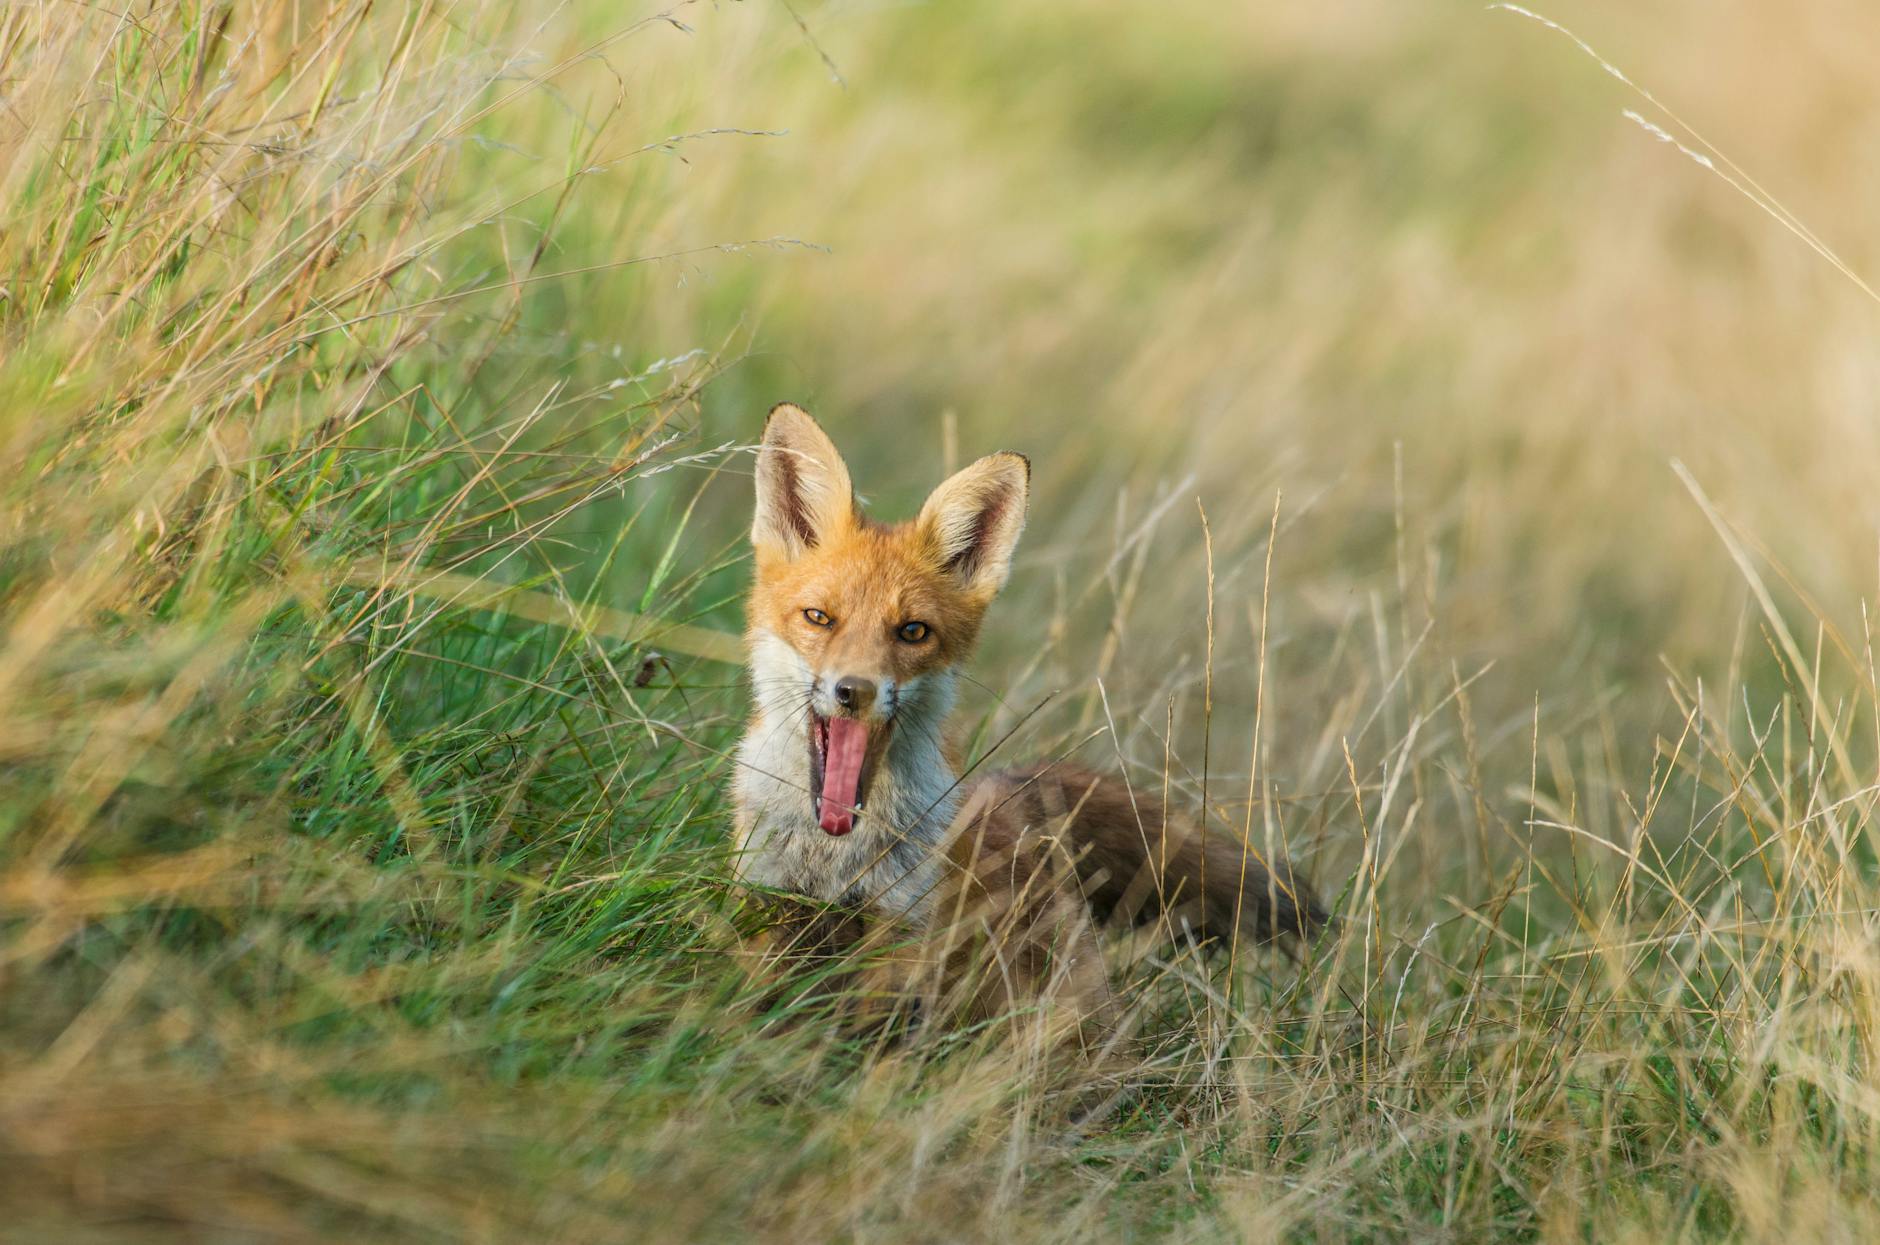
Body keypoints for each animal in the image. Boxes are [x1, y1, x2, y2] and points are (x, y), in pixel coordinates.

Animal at [733, 404, 1323, 1038]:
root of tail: (1015, 798)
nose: (854, 691)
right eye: (819, 617)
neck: (833, 861)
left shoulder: (902, 939)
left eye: (913, 631)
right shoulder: (762, 907)